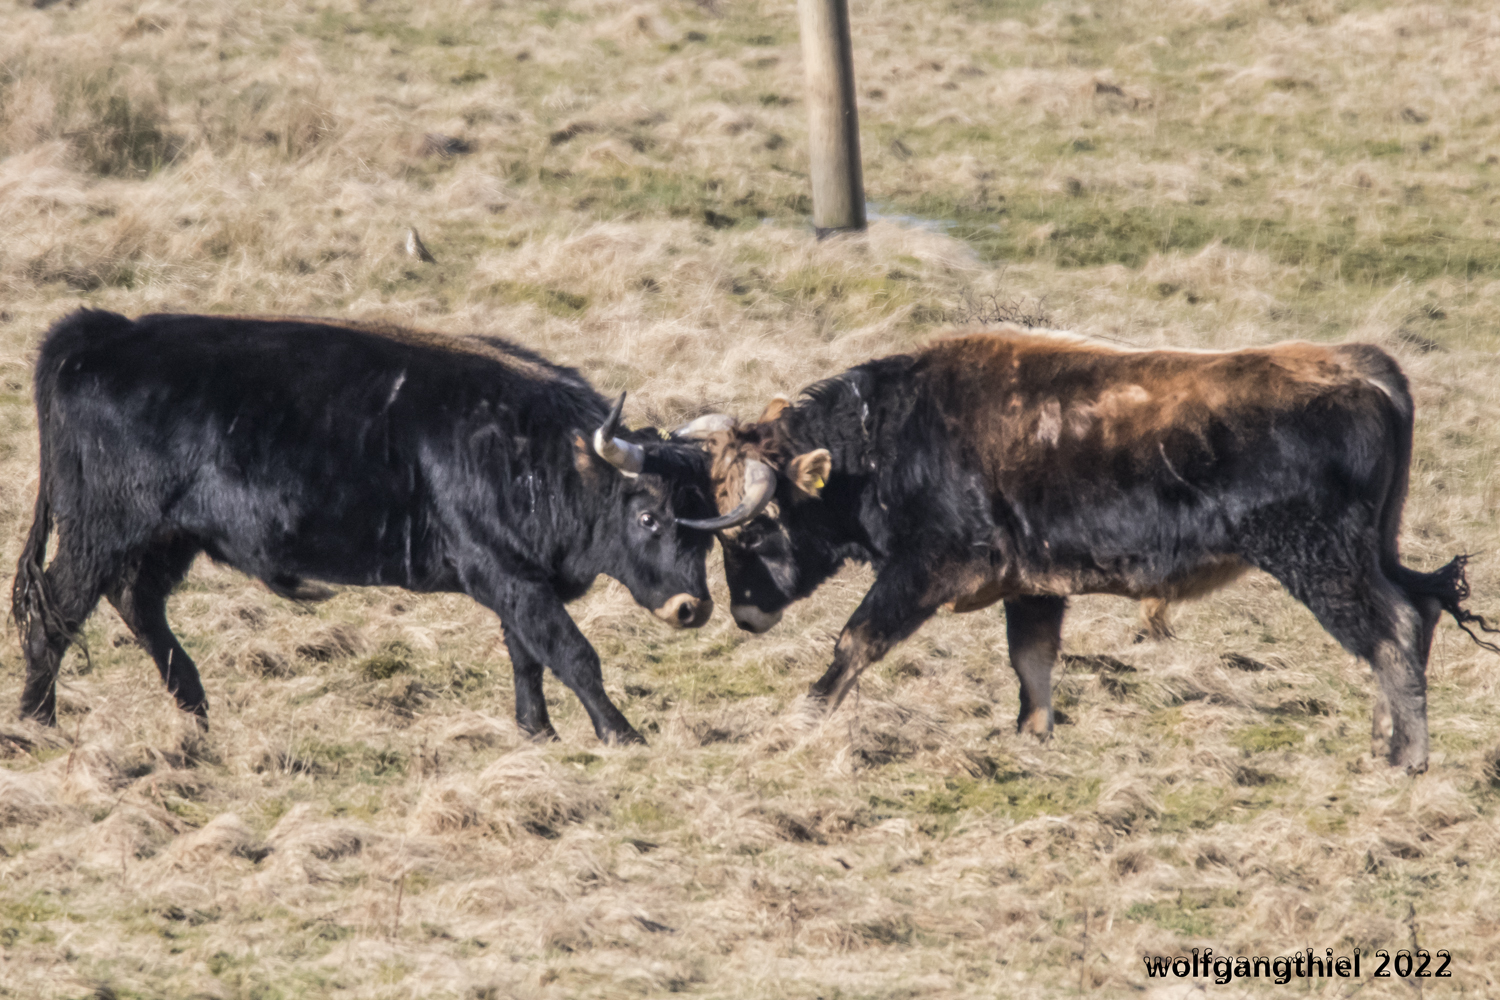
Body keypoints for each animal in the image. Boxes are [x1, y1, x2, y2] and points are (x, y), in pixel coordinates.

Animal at [8, 310, 717, 743]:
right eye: (650, 515)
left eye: (708, 525)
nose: (692, 608)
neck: (537, 449)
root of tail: (97, 334)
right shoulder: (508, 575)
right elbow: (571, 653)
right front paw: (622, 733)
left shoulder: (518, 580)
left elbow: (527, 657)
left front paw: (536, 731)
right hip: (102, 533)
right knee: (58, 611)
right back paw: (36, 722)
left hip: (164, 539)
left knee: (137, 604)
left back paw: (198, 712)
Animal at [684, 328, 1500, 773]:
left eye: (751, 528)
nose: (745, 615)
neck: (890, 435)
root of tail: (1364, 368)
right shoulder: (1032, 584)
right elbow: (1032, 660)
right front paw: (1031, 735)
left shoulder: (928, 566)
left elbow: (856, 638)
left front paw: (803, 719)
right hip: (1369, 553)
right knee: (1416, 612)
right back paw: (1382, 741)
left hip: (1321, 562)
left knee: (1391, 630)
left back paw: (1405, 757)